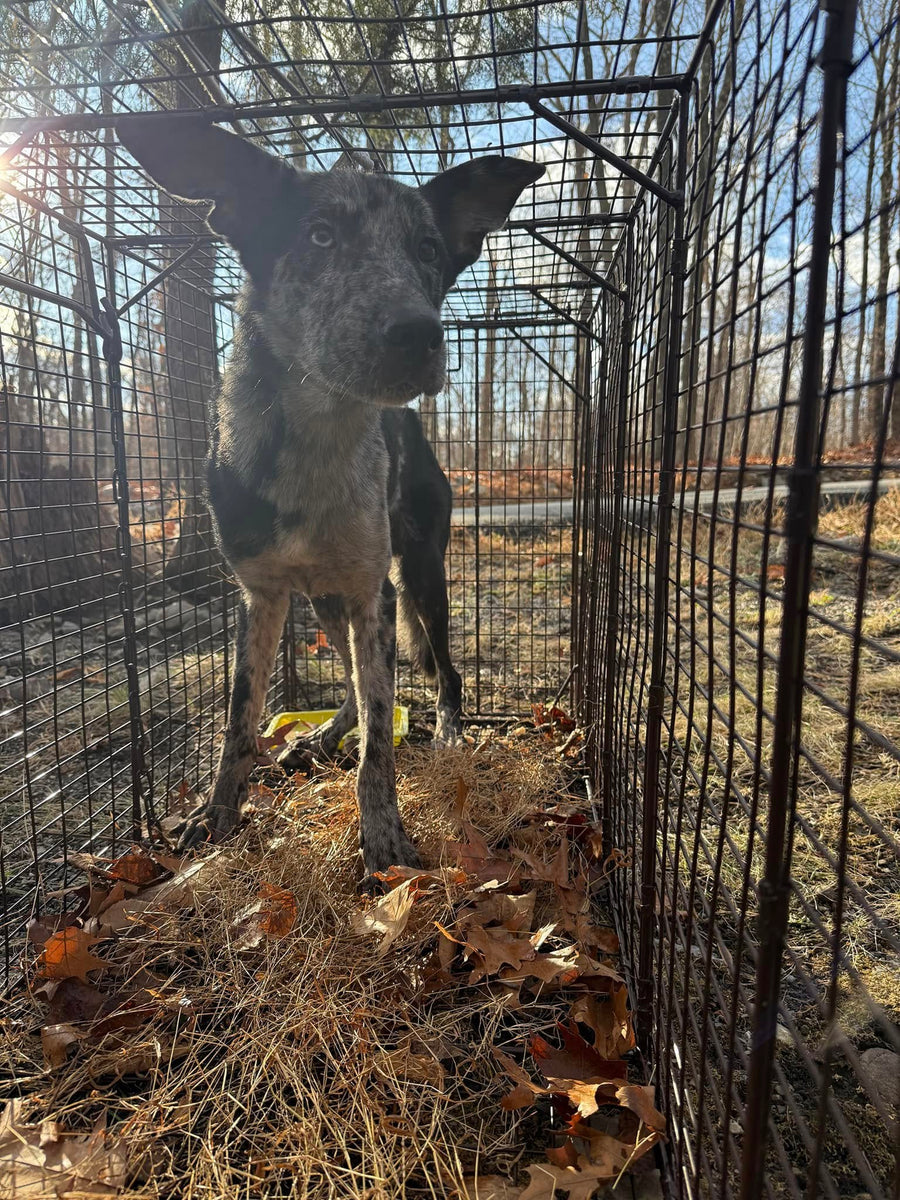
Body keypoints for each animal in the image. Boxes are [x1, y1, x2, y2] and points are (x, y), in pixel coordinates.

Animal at [117, 114, 547, 883]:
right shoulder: (261, 597)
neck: (316, 440)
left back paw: (448, 734)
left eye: (427, 249)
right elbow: (239, 721)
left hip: (418, 576)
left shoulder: (371, 595)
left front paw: (385, 839)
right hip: (328, 598)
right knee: (349, 680)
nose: (419, 335)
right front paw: (215, 817)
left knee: (443, 673)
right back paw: (320, 737)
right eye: (318, 235)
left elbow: (379, 738)